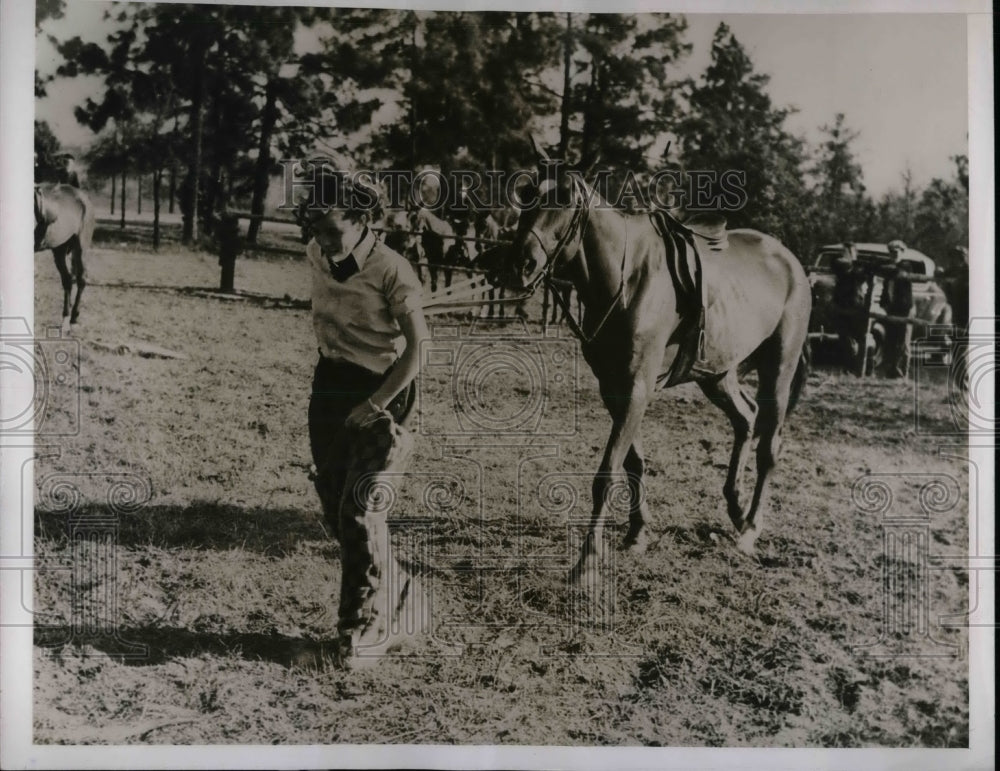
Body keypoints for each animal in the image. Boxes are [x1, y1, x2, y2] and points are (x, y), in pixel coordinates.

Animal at [34, 183, 94, 328]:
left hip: (81, 246)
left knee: (81, 279)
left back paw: (74, 316)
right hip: (59, 249)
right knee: (67, 280)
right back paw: (66, 316)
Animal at [500, 145, 812, 584]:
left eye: (564, 197)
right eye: (527, 193)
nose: (520, 265)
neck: (624, 277)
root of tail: (793, 264)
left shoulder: (637, 385)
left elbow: (607, 471)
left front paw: (587, 561)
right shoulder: (613, 386)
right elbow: (633, 460)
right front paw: (638, 531)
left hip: (778, 369)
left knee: (770, 444)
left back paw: (751, 527)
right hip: (717, 373)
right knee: (746, 419)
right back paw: (735, 509)